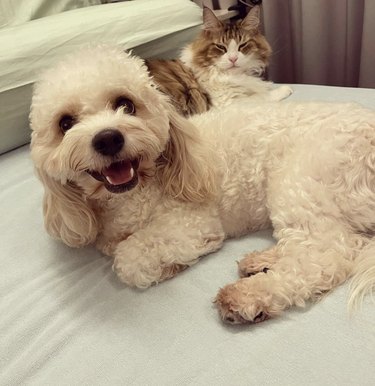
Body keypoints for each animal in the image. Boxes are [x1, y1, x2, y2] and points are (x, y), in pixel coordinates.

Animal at [30, 46, 375, 322]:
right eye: (65, 123)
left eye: (126, 104)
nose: (108, 138)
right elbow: (114, 245)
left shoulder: (193, 224)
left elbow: (128, 257)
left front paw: (167, 266)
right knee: (335, 242)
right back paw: (261, 260)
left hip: (298, 180)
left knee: (327, 254)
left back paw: (249, 296)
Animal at [145, 6, 292, 116]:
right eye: (221, 47)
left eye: (242, 45)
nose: (233, 59)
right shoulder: (230, 104)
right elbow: (263, 96)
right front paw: (284, 89)